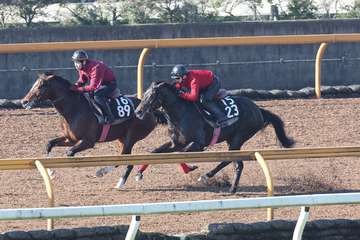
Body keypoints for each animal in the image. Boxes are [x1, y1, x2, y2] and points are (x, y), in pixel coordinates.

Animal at [21, 72, 170, 188]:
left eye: (41, 86)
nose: (24, 101)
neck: (74, 108)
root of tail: (151, 111)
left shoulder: (88, 141)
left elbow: (69, 153)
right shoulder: (70, 138)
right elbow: (49, 144)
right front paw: (51, 173)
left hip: (131, 137)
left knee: (123, 158)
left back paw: (103, 173)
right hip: (121, 138)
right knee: (126, 160)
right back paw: (120, 182)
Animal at [135, 82, 296, 193]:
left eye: (151, 96)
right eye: (144, 94)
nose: (138, 112)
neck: (181, 113)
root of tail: (258, 109)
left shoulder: (198, 145)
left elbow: (180, 154)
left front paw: (190, 168)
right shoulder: (176, 143)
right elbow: (155, 152)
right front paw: (138, 173)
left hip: (238, 137)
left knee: (230, 160)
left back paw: (209, 177)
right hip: (232, 139)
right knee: (237, 163)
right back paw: (230, 187)